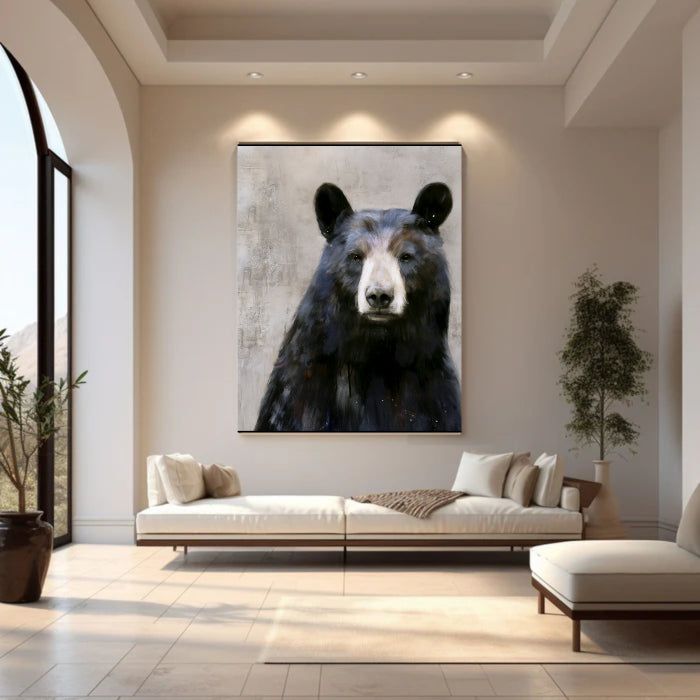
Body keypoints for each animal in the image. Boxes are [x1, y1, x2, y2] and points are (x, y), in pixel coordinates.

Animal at [255, 181, 461, 432]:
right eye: (355, 256)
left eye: (406, 257)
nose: (380, 295)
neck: (377, 348)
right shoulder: (302, 388)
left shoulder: (432, 384)